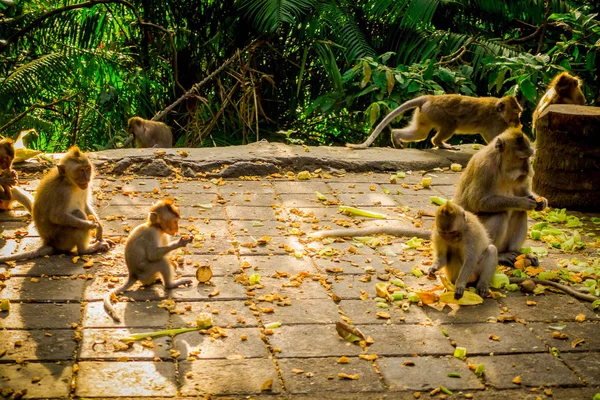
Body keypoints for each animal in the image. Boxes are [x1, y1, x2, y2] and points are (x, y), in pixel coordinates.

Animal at [344, 94, 524, 151]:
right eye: (516, 113)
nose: (519, 122)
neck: (497, 112)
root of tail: (429, 98)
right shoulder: (495, 122)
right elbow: (495, 138)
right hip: (438, 113)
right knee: (450, 125)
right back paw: (440, 143)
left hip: (424, 114)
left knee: (420, 133)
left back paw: (396, 137)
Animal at [458, 126, 548, 268]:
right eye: (522, 158)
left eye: (529, 157)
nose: (529, 170)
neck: (501, 167)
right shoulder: (484, 168)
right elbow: (477, 201)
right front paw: (522, 202)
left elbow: (523, 190)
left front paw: (542, 201)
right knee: (500, 214)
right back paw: (500, 256)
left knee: (520, 213)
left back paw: (516, 253)